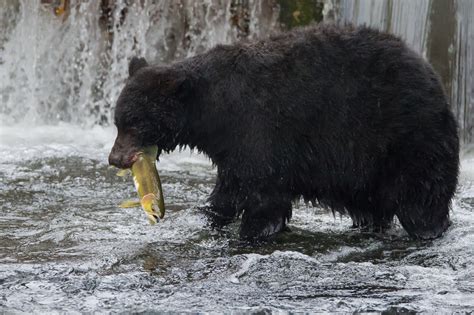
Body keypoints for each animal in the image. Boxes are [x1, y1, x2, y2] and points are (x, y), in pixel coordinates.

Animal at [108, 24, 460, 242]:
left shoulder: (259, 129)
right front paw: (207, 216)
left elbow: (265, 194)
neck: (214, 114)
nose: (114, 158)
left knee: (422, 201)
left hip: (408, 140)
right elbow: (229, 190)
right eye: (118, 121)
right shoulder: (231, 149)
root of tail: (438, 83)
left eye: (134, 123)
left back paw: (429, 229)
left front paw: (254, 231)